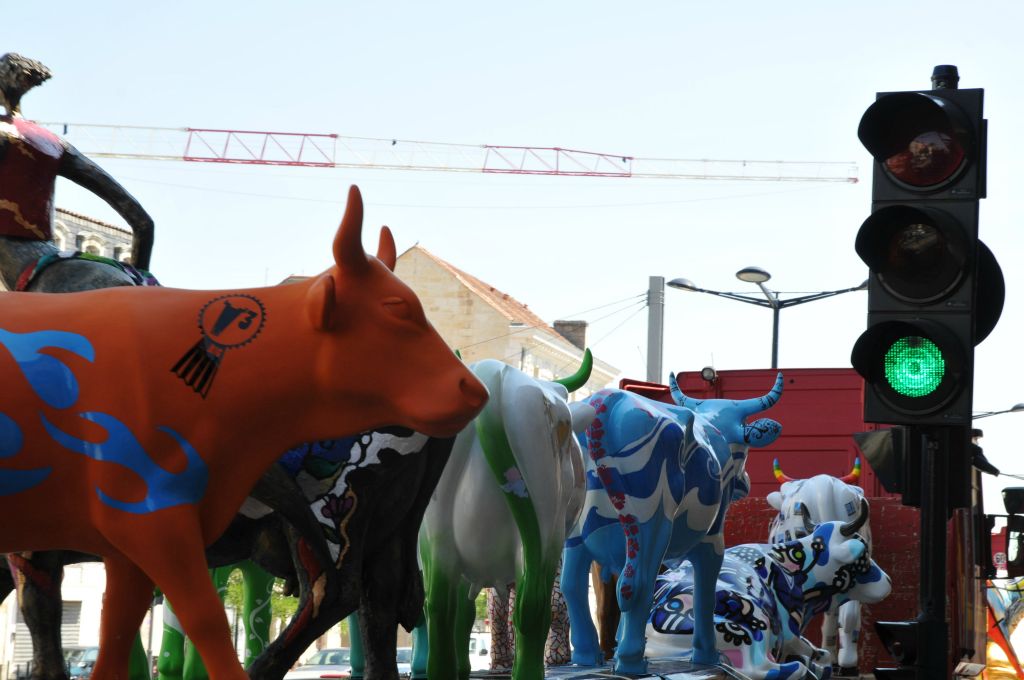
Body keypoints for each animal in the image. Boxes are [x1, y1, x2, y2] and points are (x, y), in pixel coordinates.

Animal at [415, 352, 593, 675]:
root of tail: (494, 371)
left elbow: (464, 614)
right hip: (545, 531)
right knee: (531, 608)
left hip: (437, 535)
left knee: (439, 608)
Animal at [561, 372, 782, 675]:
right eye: (745, 446)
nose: (745, 483)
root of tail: (606, 401)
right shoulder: (713, 539)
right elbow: (705, 594)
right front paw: (707, 655)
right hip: (651, 523)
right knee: (638, 585)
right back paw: (632, 662)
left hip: (576, 533)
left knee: (573, 586)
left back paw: (588, 656)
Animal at [647, 499, 897, 680]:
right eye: (864, 553)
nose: (889, 580)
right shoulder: (789, 631)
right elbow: (816, 654)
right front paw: (814, 663)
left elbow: (821, 653)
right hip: (751, 627)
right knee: (762, 669)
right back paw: (801, 667)